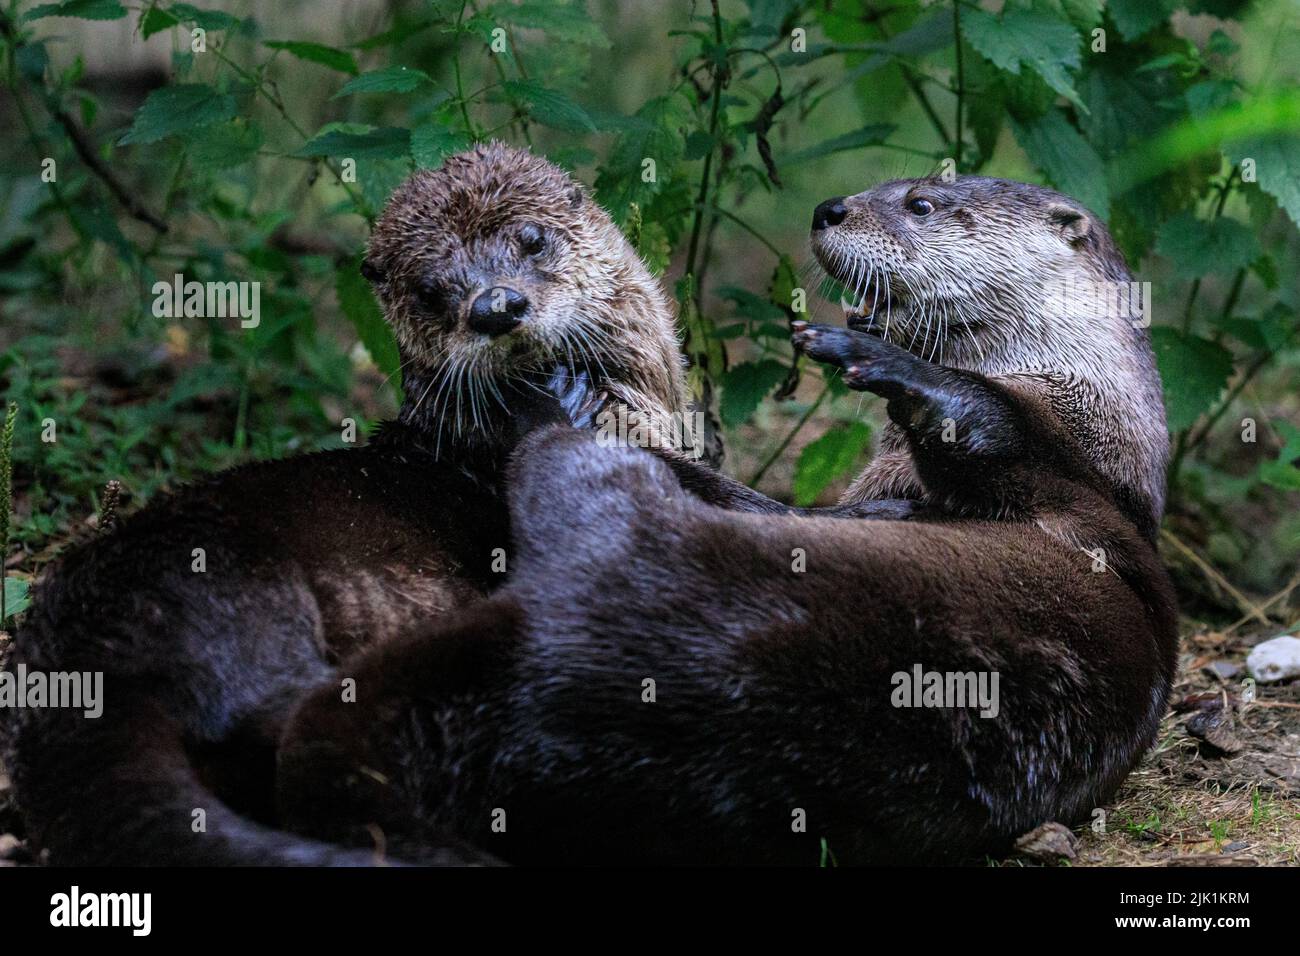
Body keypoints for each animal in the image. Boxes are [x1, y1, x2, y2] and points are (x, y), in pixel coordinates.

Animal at [271, 174, 1180, 868]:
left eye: (921, 202)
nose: (830, 209)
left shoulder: (1063, 463)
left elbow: (980, 423)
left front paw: (874, 357)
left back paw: (550, 396)